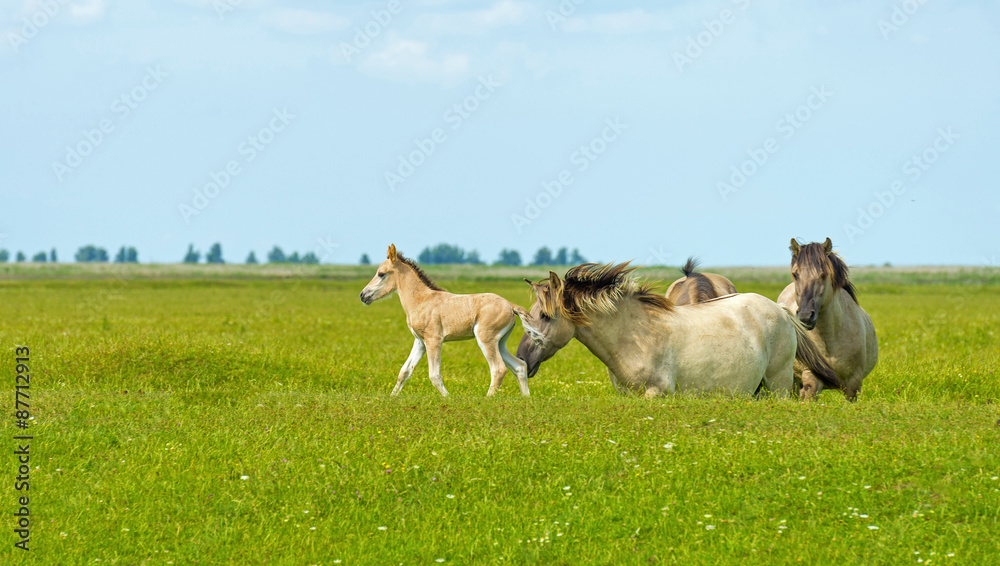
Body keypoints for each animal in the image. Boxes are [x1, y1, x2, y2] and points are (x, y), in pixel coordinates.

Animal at [360, 244, 537, 397]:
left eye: (381, 273)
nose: (363, 295)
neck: (421, 300)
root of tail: (510, 305)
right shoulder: (420, 341)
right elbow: (405, 371)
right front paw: (391, 398)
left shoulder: (434, 340)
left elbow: (434, 375)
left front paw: (448, 398)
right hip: (500, 342)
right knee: (520, 366)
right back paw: (525, 398)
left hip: (486, 339)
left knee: (498, 369)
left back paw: (488, 398)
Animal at [515, 263, 840, 398]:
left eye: (544, 315)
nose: (521, 360)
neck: (635, 336)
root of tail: (781, 311)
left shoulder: (656, 394)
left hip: (779, 384)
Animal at [777, 238, 878, 401]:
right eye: (795, 274)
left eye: (823, 275)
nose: (805, 316)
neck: (829, 339)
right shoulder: (811, 377)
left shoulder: (853, 383)